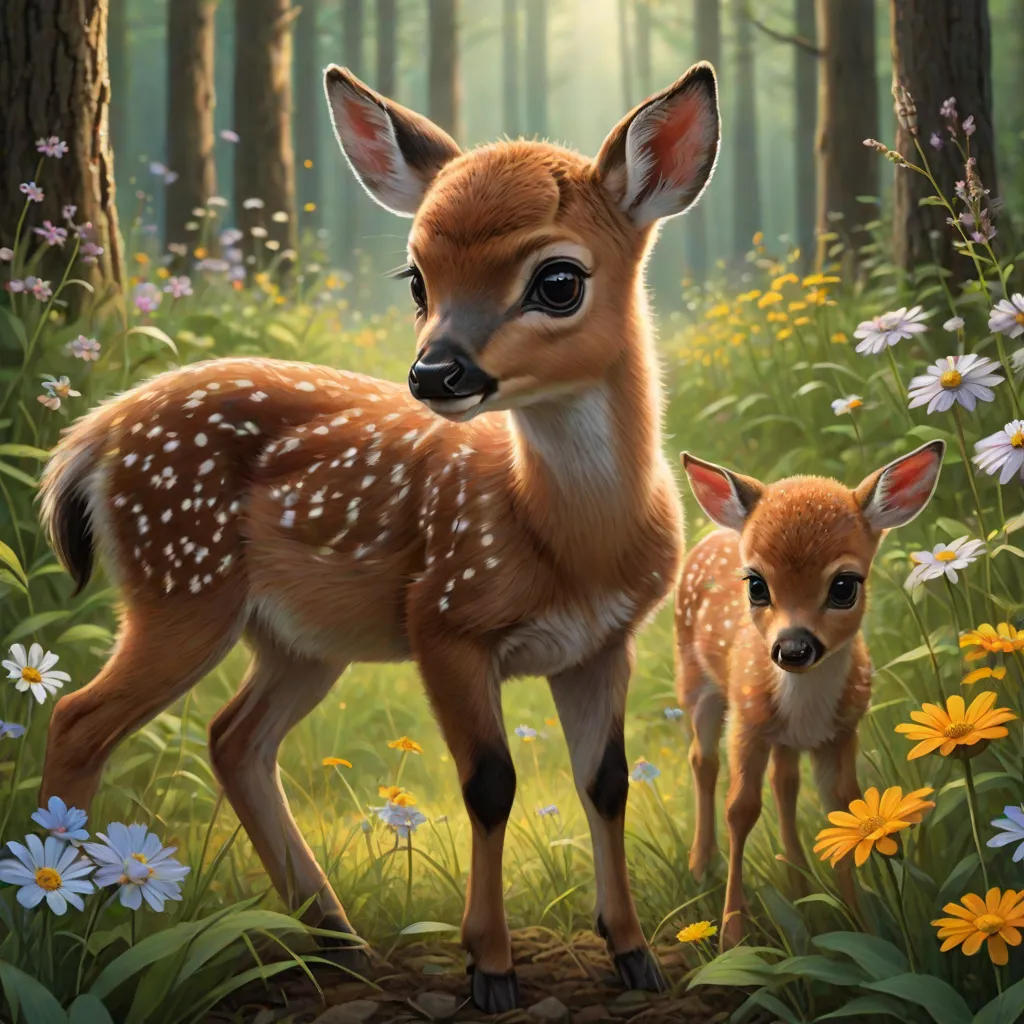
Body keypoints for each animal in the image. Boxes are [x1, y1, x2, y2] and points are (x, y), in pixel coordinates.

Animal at [37, 63, 721, 1011]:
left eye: (558, 280)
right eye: (417, 279)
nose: (435, 373)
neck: (565, 542)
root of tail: (95, 433)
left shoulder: (601, 645)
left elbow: (606, 784)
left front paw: (634, 955)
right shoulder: (444, 620)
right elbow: (490, 784)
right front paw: (490, 966)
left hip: (298, 638)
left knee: (233, 739)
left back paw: (334, 936)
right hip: (180, 585)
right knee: (77, 720)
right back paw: (64, 943)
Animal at [675, 441, 944, 950]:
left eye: (844, 585)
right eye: (756, 584)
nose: (793, 648)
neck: (808, 708)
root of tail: (712, 534)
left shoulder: (840, 733)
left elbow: (843, 811)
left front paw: (861, 925)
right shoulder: (748, 721)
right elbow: (740, 810)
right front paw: (732, 936)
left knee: (784, 782)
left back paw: (797, 881)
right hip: (695, 680)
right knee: (702, 760)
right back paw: (700, 865)